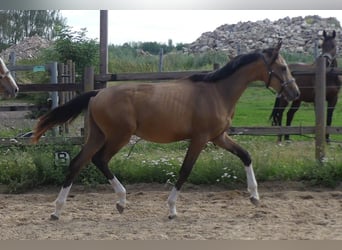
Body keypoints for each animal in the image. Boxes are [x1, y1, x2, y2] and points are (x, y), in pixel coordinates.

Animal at [32, 40, 300, 221]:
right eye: (283, 68)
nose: (295, 93)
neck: (216, 92)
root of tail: (98, 93)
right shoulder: (200, 139)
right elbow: (185, 170)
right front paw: (171, 209)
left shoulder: (219, 137)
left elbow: (246, 155)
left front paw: (255, 197)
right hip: (119, 136)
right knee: (99, 160)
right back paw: (121, 201)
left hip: (98, 136)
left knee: (76, 163)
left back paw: (57, 210)